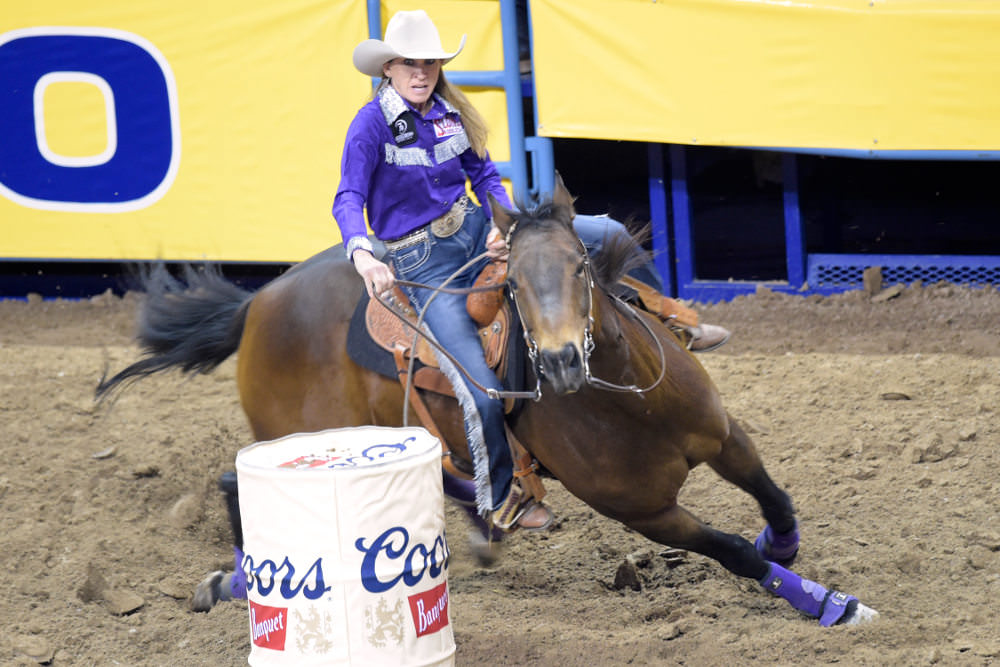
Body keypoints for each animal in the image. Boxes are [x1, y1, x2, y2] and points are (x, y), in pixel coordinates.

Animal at [94, 176, 876, 628]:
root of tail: (257, 304)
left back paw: (493, 519)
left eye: (580, 266)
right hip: (305, 437)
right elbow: (733, 551)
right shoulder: (648, 513)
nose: (558, 362)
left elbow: (773, 497)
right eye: (513, 286)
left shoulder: (722, 434)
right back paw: (233, 579)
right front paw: (827, 602)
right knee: (237, 485)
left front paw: (789, 551)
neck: (632, 402)